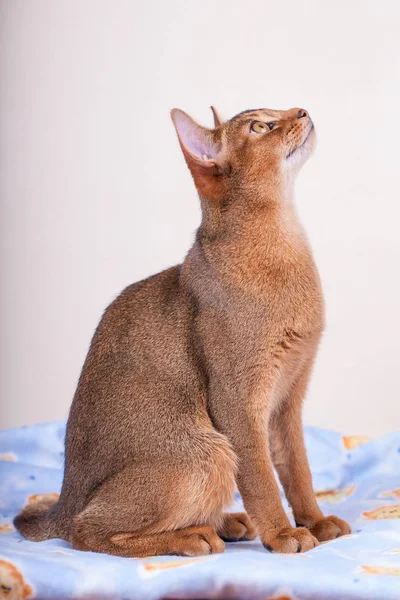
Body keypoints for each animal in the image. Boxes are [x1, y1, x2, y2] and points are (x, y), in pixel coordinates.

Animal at [13, 104, 350, 556]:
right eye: (260, 126)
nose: (302, 110)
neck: (282, 243)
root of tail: (64, 503)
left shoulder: (288, 398)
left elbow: (298, 469)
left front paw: (316, 521)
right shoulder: (237, 401)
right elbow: (261, 477)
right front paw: (283, 534)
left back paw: (224, 522)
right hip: (205, 453)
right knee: (86, 533)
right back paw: (193, 536)